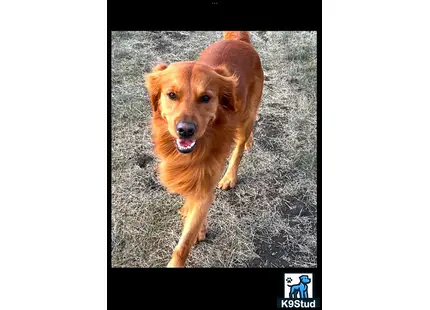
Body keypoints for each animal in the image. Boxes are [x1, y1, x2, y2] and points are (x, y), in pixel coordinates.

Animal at [144, 31, 264, 268]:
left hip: (247, 115)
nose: (185, 131)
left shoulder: (207, 179)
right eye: (172, 95)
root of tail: (240, 41)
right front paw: (199, 225)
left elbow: (184, 243)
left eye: (206, 98)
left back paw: (231, 175)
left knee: (239, 147)